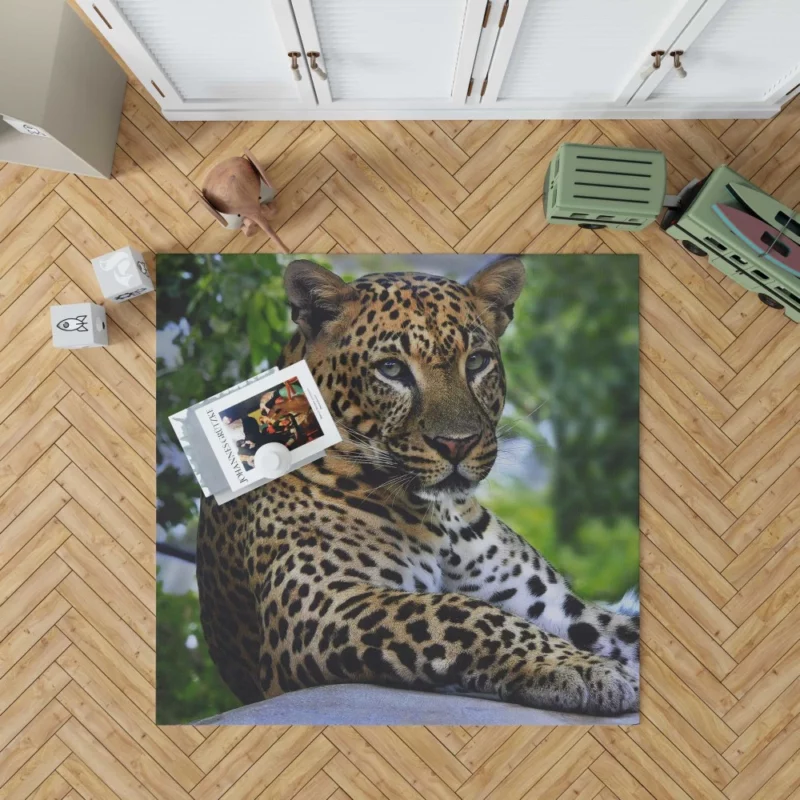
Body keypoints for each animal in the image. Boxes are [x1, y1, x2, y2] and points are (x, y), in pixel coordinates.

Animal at [197, 256, 640, 712]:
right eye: (391, 369)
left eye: (477, 362)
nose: (457, 444)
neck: (442, 518)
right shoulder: (322, 599)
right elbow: (463, 611)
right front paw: (583, 668)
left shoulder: (559, 607)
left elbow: (623, 631)